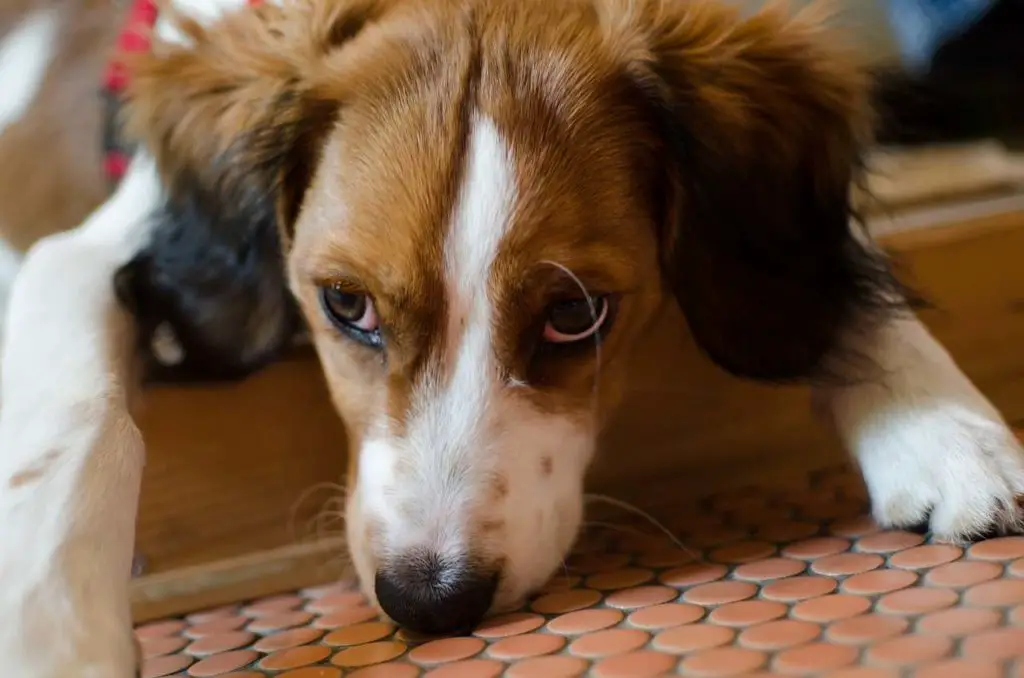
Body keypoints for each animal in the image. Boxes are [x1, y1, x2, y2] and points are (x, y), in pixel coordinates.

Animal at [2, 0, 1024, 675]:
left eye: (576, 314)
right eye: (345, 304)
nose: (429, 598)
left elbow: (846, 271)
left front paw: (948, 431)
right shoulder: (96, 247)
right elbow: (77, 419)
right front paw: (52, 629)